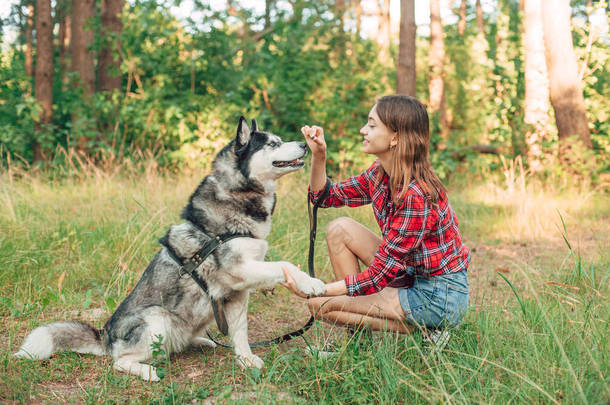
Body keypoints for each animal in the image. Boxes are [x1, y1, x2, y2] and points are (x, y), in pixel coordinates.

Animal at [14, 116, 326, 378]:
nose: (303, 143)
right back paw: (147, 371)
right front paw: (311, 283)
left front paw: (246, 360)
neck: (238, 197)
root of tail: (105, 335)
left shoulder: (237, 293)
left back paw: (201, 341)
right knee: (120, 361)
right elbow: (284, 265)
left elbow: (240, 332)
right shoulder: (238, 270)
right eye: (273, 144)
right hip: (156, 319)